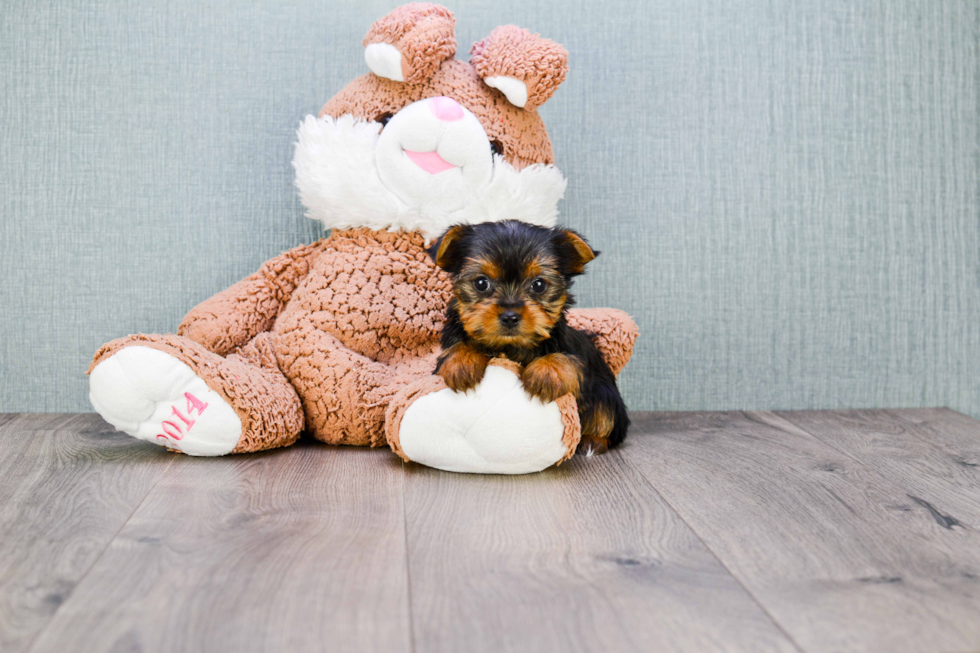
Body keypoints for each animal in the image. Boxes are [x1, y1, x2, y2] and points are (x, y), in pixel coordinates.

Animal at [426, 219, 628, 454]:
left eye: (538, 285)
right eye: (481, 283)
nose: (510, 316)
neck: (509, 346)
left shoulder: (577, 358)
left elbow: (569, 360)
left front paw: (546, 373)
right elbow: (457, 347)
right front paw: (461, 362)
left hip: (607, 396)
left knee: (606, 416)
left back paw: (593, 441)